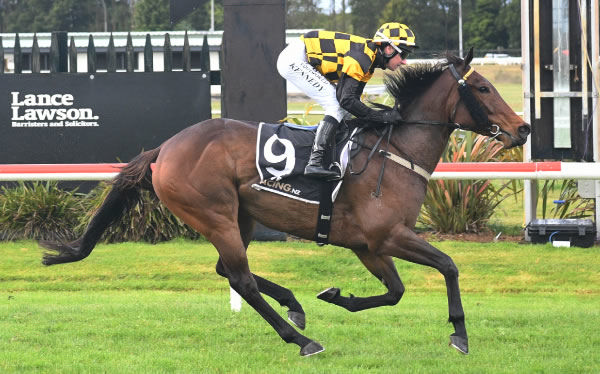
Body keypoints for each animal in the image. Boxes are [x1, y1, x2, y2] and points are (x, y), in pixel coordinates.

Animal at [41, 49, 528, 356]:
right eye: (483, 88)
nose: (522, 129)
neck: (396, 151)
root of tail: (165, 148)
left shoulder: (368, 245)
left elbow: (395, 292)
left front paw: (336, 295)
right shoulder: (388, 236)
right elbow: (448, 265)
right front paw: (460, 335)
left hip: (239, 218)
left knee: (227, 270)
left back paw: (295, 305)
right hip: (215, 215)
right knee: (240, 280)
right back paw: (300, 340)